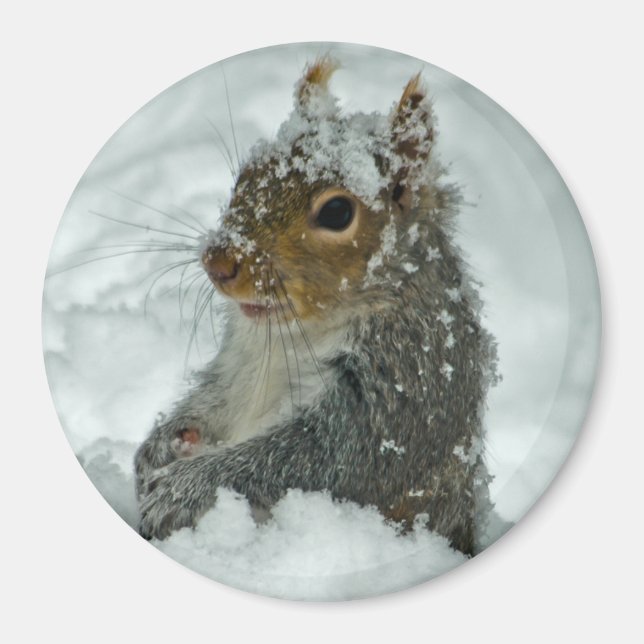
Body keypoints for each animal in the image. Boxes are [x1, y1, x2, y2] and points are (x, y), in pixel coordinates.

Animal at [134, 57, 498, 556]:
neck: (296, 329)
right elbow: (212, 402)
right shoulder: (238, 365)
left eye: (337, 213)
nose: (218, 262)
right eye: (245, 175)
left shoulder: (402, 383)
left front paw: (184, 487)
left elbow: (320, 461)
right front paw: (157, 447)